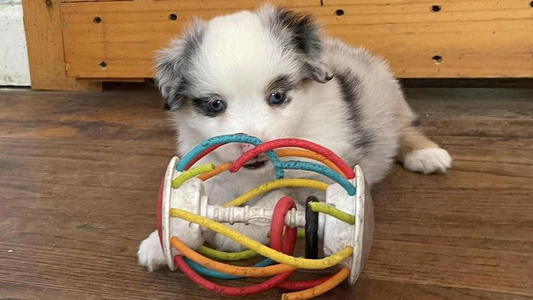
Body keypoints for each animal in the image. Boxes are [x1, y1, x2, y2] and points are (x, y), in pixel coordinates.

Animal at [136, 4, 448, 272]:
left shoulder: (322, 173)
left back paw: (426, 154)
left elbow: (279, 195)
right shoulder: (215, 169)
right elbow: (193, 198)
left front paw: (241, 228)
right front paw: (160, 241)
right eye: (215, 105)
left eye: (277, 96)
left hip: (389, 97)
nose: (251, 148)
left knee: (404, 128)